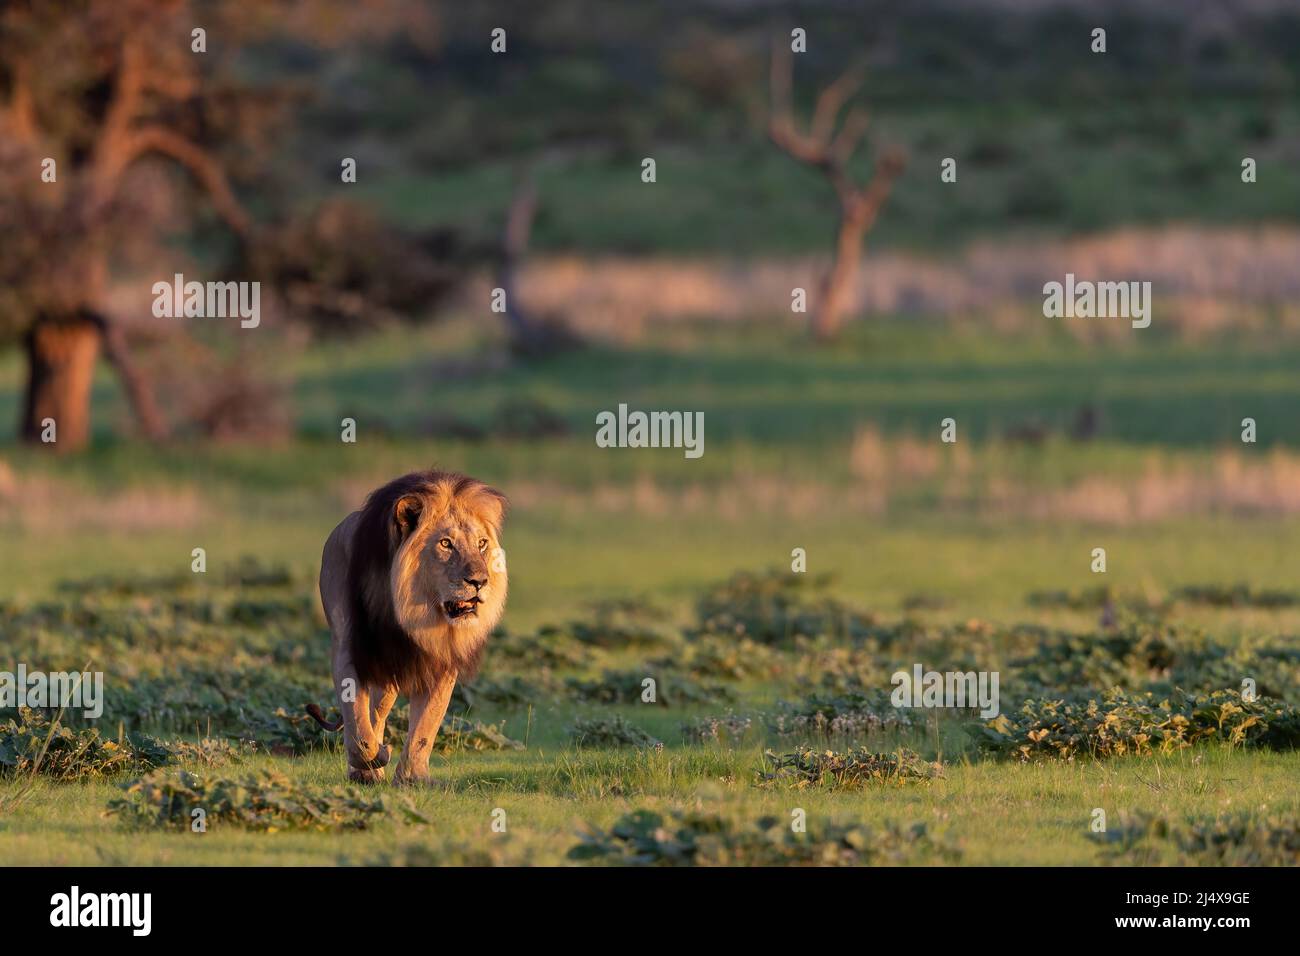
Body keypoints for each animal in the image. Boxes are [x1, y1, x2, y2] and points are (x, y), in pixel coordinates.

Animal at [308, 470, 506, 785]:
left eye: (482, 544)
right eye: (446, 544)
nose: (479, 581)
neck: (412, 614)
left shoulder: (441, 659)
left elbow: (426, 724)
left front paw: (414, 778)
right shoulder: (350, 650)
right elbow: (355, 715)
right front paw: (371, 756)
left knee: (378, 712)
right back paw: (367, 768)